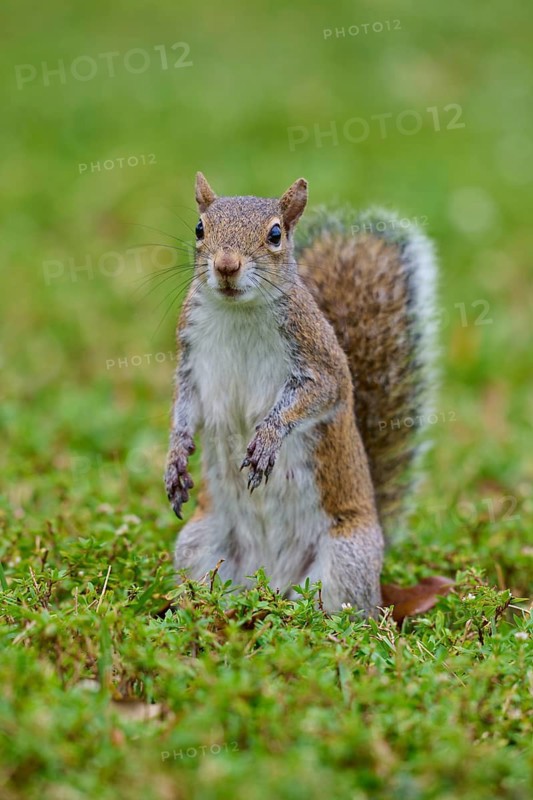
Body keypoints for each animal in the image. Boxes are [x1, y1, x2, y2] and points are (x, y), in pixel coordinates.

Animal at [164, 172, 437, 616]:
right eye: (200, 229)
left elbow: (321, 395)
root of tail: (271, 581)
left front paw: (267, 438)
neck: (237, 311)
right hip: (199, 543)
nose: (226, 265)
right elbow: (185, 407)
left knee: (349, 613)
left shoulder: (320, 361)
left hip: (345, 559)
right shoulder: (190, 359)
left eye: (275, 234)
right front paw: (175, 459)